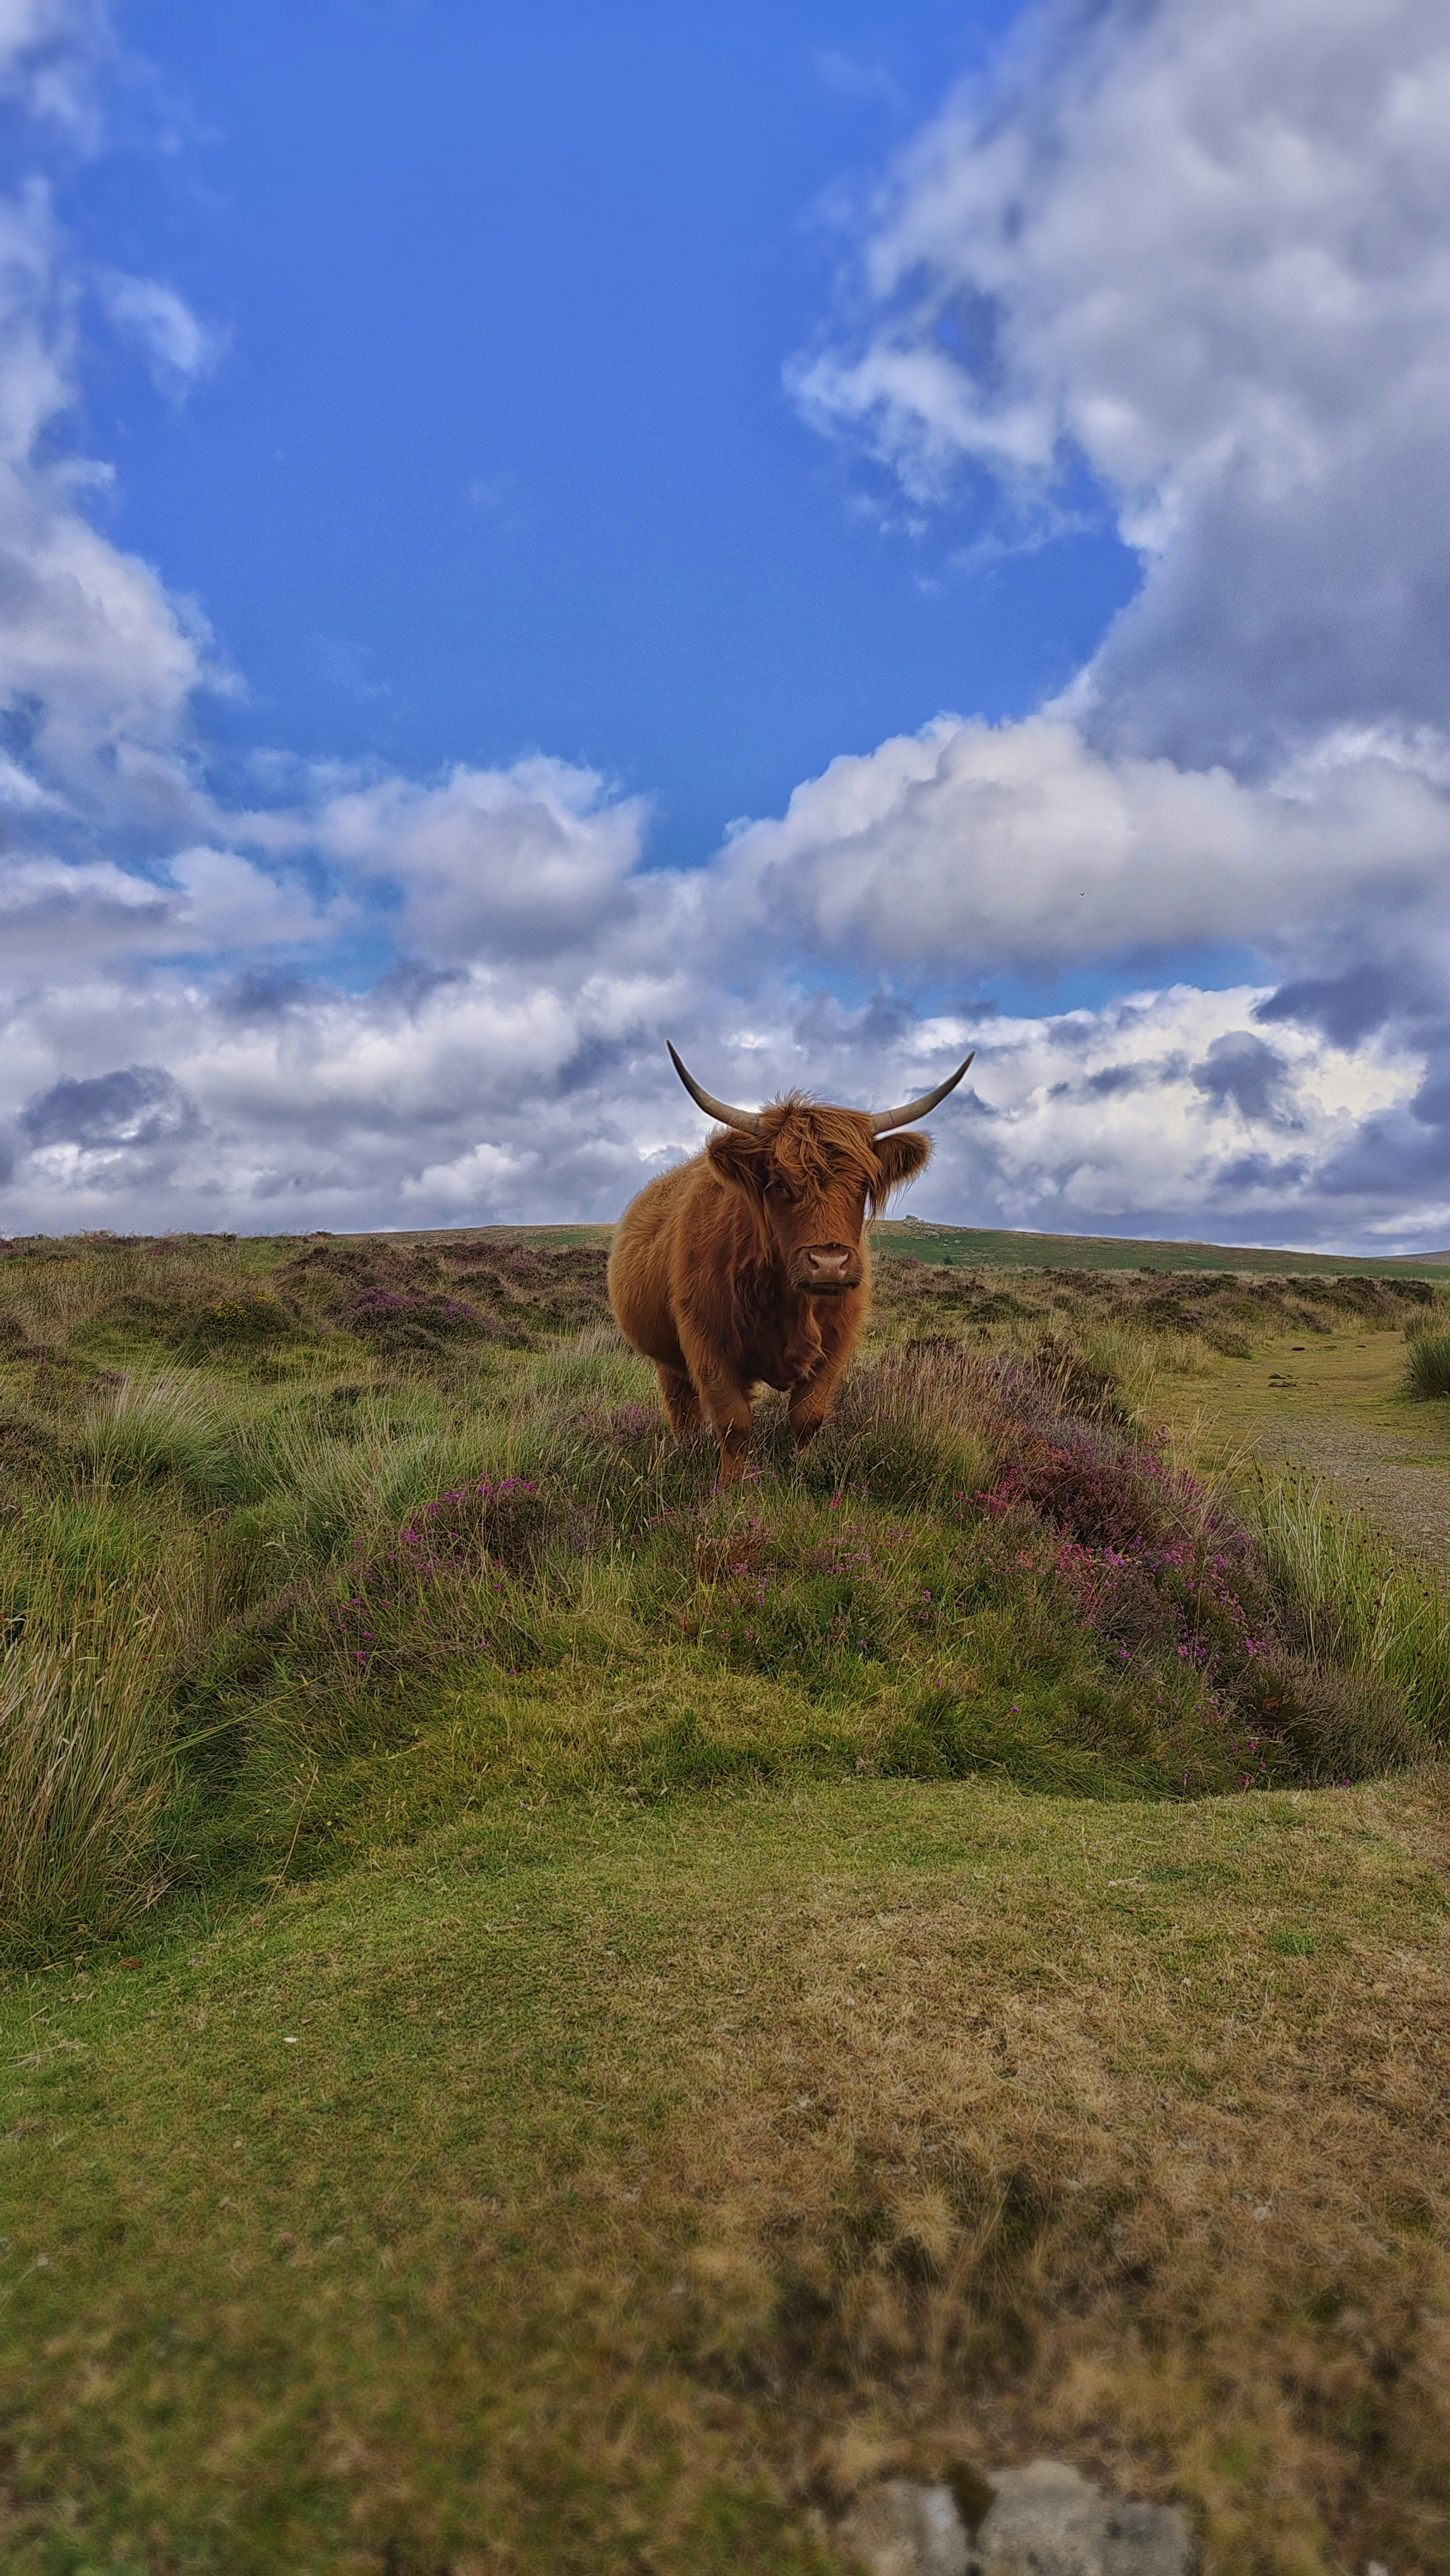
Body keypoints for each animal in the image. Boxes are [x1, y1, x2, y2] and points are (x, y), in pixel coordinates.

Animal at [607, 1042, 974, 1483]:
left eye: (863, 1185)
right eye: (779, 1183)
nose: (829, 1262)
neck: (788, 1301)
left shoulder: (836, 1344)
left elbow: (807, 1417)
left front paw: (802, 1473)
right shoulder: (707, 1342)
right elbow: (734, 1423)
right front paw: (730, 1487)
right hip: (668, 1359)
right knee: (682, 1408)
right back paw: (685, 1452)